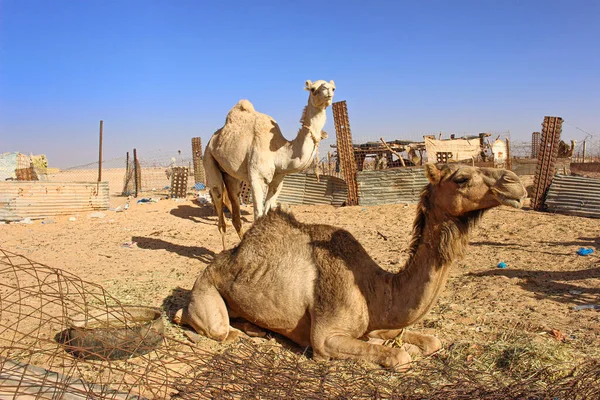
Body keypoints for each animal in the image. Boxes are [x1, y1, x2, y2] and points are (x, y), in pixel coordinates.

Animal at [173, 164, 524, 370]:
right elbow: (399, 357)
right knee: (210, 327)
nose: (515, 183)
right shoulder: (326, 338)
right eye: (462, 178)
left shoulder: (379, 324)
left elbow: (431, 341)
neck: (376, 290)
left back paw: (257, 329)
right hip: (205, 291)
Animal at [205, 78, 338, 248]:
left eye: (333, 88)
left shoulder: (278, 180)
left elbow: (267, 212)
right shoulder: (257, 178)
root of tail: (212, 139)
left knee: (235, 210)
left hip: (230, 175)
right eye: (313, 89)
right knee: (219, 203)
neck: (278, 152)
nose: (328, 91)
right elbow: (258, 215)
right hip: (209, 158)